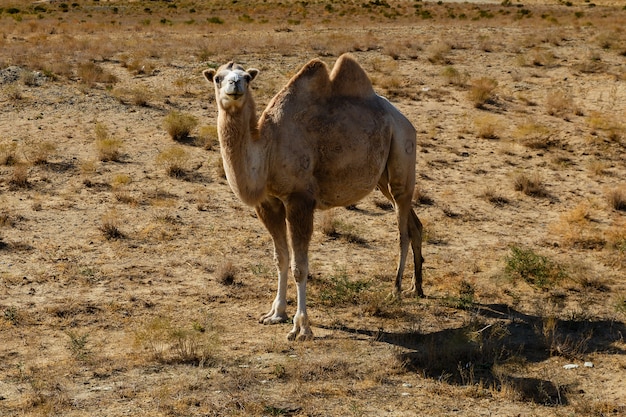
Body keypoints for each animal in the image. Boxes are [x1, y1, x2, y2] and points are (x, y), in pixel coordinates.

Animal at [202, 53, 422, 340]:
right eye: (218, 77)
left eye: (247, 77)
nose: (235, 85)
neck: (268, 150)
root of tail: (405, 120)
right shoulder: (269, 203)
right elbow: (280, 258)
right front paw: (275, 313)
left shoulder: (300, 200)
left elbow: (299, 266)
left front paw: (301, 327)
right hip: (382, 178)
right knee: (414, 223)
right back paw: (417, 287)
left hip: (402, 154)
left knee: (402, 229)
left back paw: (395, 290)